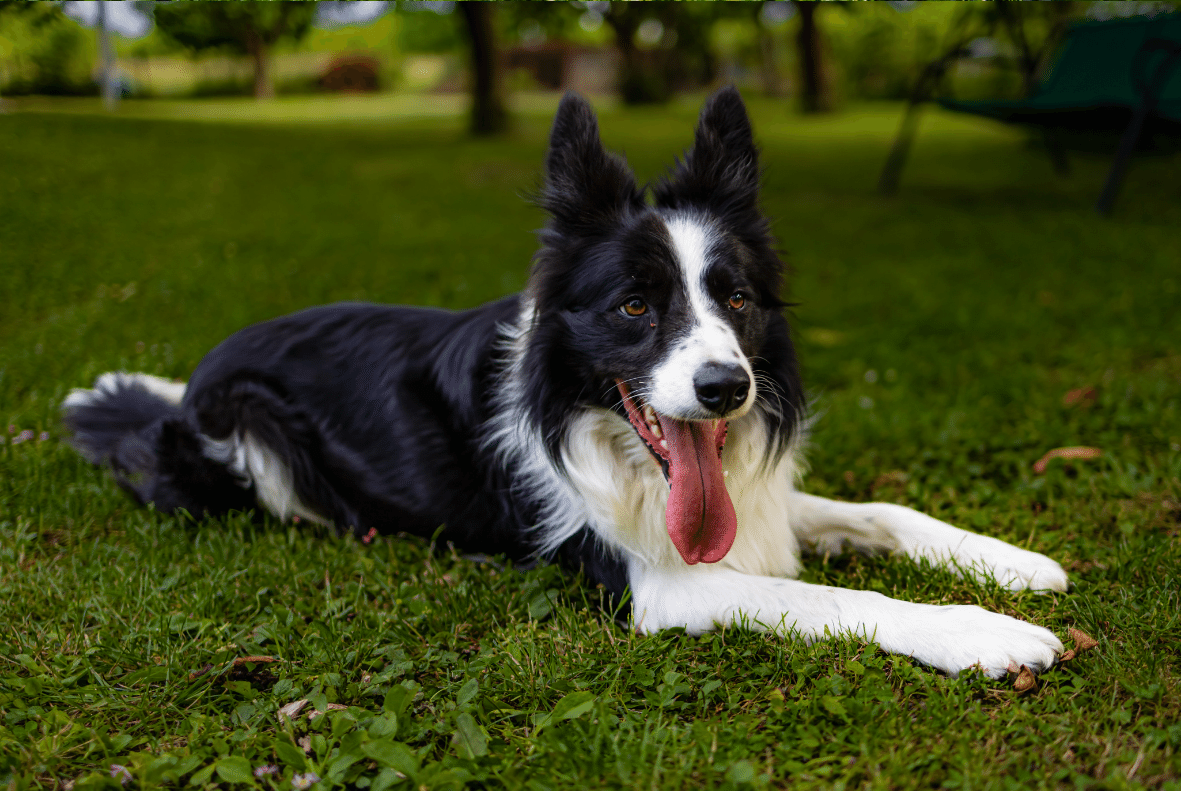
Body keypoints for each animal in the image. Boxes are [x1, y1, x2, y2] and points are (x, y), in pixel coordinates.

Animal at [62, 88, 1072, 680]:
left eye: (736, 298)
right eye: (633, 306)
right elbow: (831, 598)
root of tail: (193, 381)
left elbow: (879, 512)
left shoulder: (753, 502)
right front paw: (982, 633)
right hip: (254, 436)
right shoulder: (662, 584)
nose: (724, 389)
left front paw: (1008, 561)